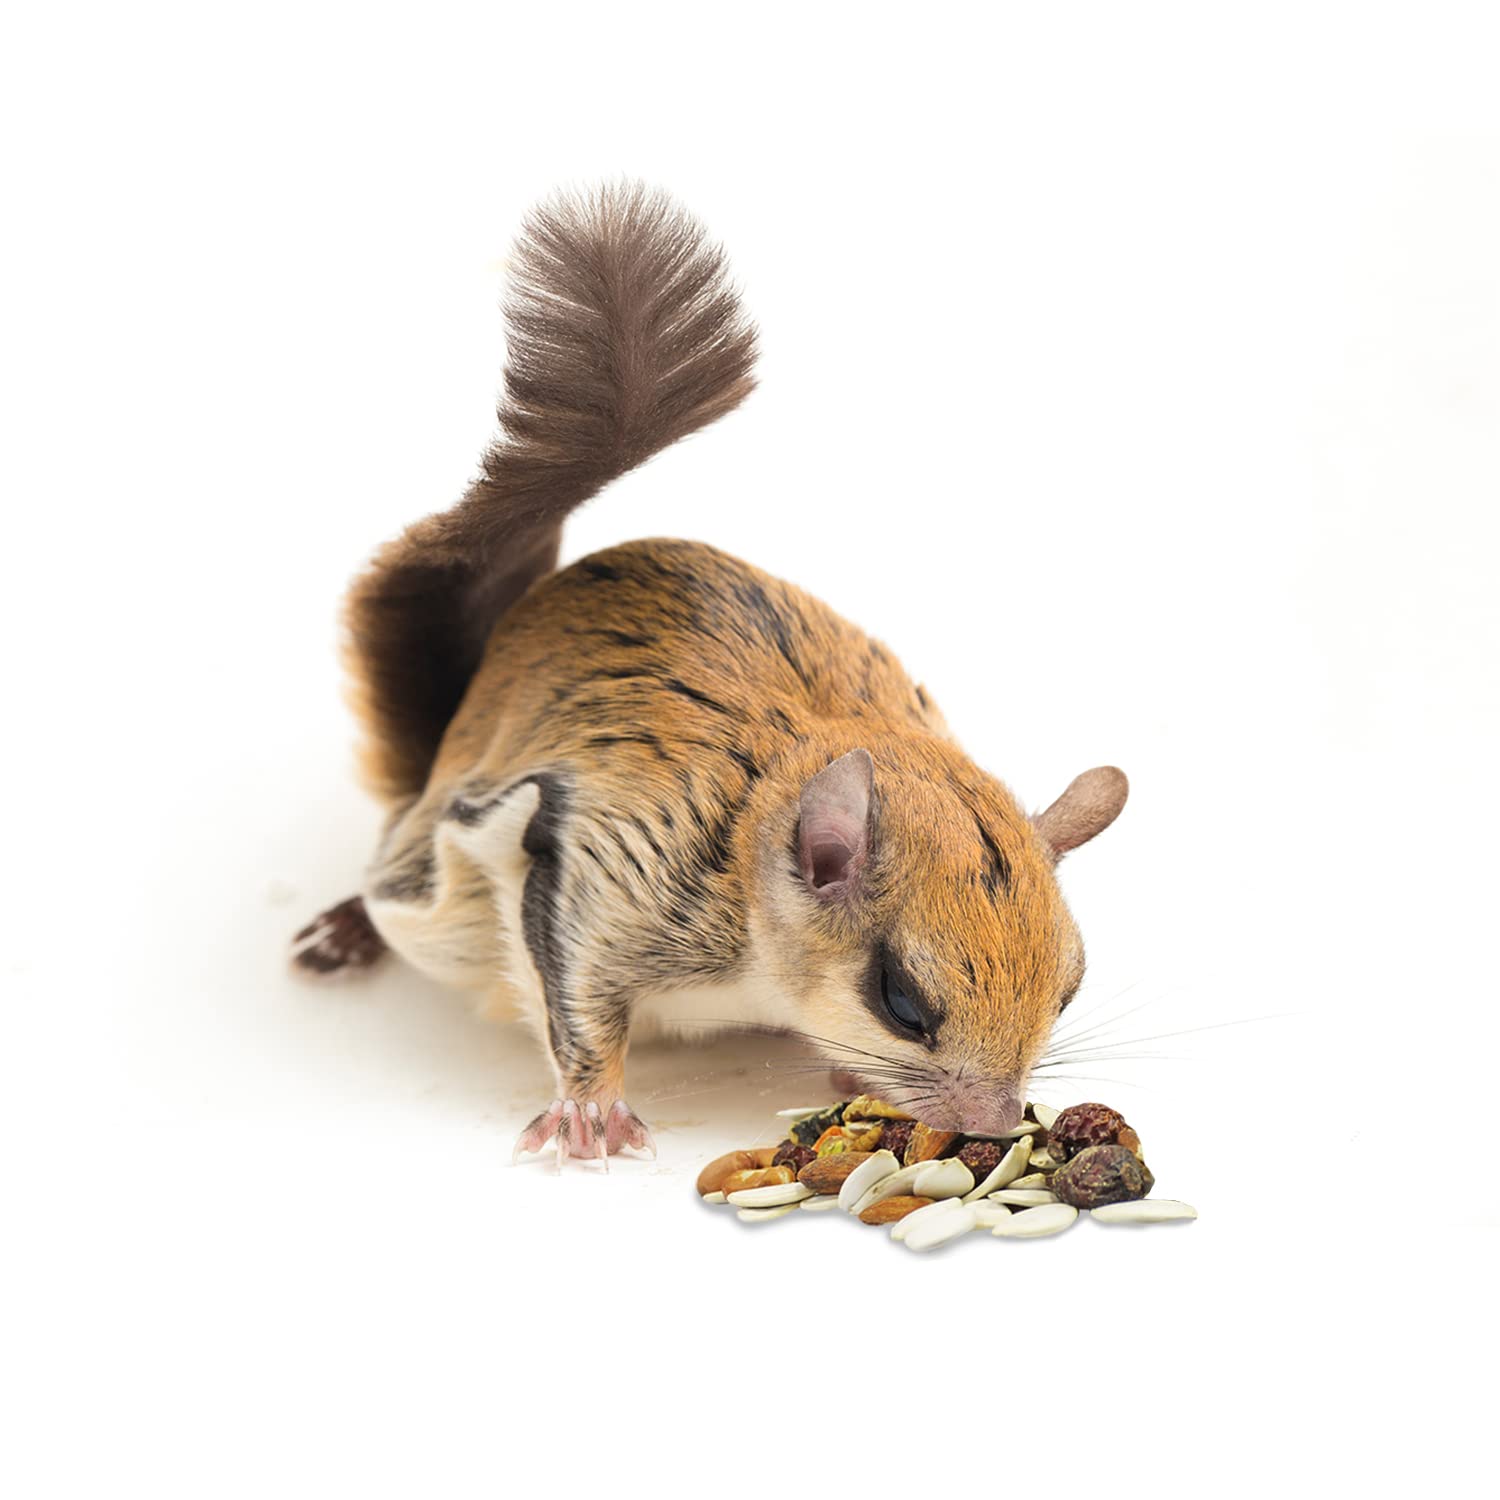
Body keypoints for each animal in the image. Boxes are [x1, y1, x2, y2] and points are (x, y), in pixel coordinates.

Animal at [290, 183, 1129, 1167]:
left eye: (1070, 988)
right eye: (902, 1000)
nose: (995, 1125)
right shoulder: (614, 863)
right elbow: (579, 1000)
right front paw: (590, 1114)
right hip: (425, 882)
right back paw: (343, 927)